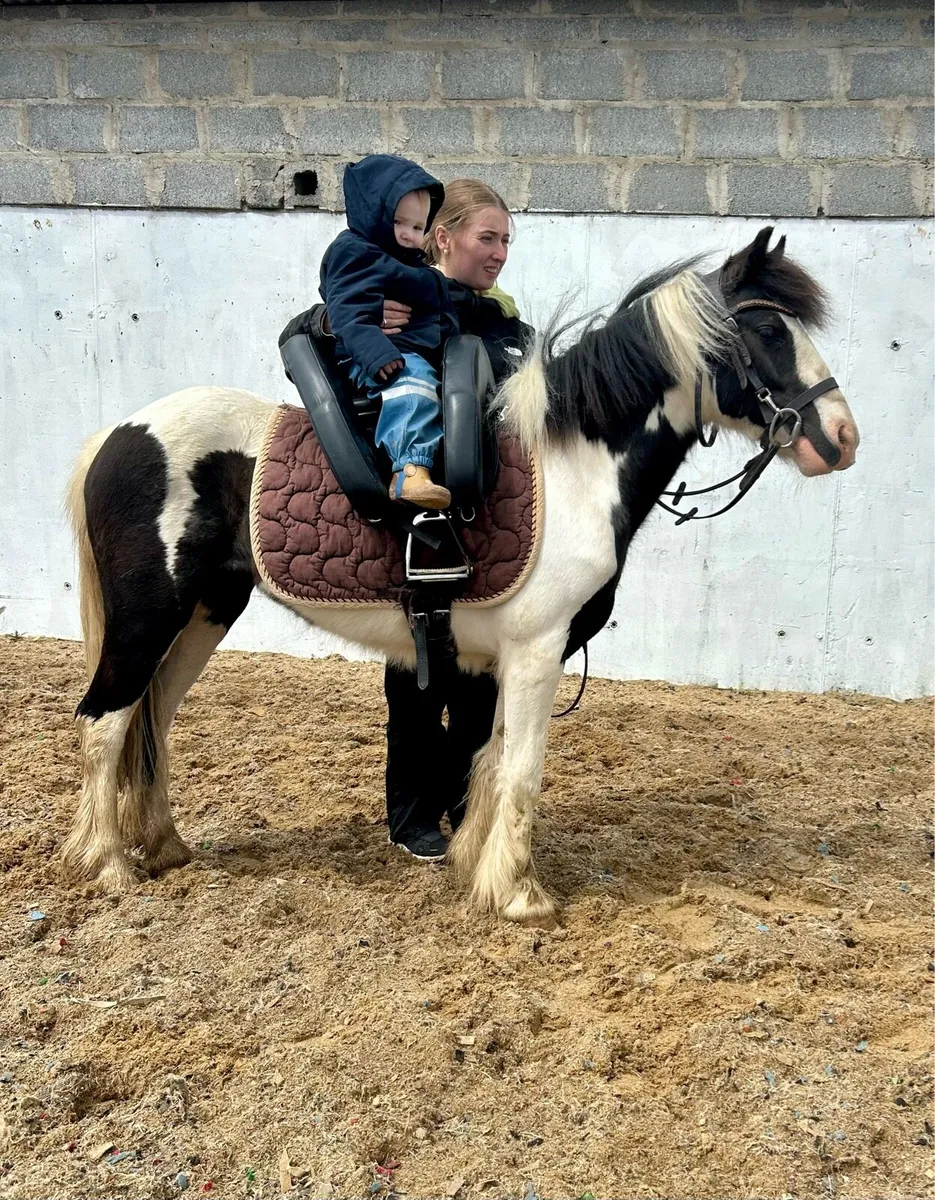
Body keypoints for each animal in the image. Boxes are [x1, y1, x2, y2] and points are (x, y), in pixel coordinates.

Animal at [61, 227, 858, 926]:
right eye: (767, 332)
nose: (842, 438)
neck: (574, 467)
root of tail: (119, 434)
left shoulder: (511, 660)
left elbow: (488, 760)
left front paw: (477, 865)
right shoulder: (537, 653)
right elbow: (523, 770)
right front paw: (520, 895)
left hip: (205, 614)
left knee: (153, 719)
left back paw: (165, 847)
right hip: (148, 619)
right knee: (106, 722)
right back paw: (108, 864)